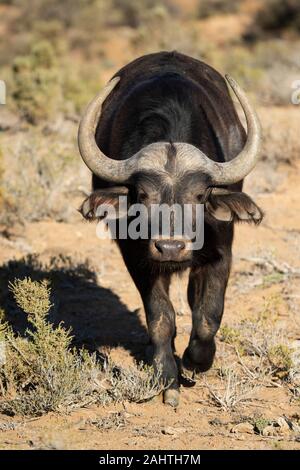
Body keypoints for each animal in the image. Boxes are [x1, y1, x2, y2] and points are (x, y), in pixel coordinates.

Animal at [78, 49, 262, 406]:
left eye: (200, 195)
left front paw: (194, 362)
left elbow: (208, 314)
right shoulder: (137, 259)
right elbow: (161, 317)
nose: (171, 247)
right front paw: (168, 378)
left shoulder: (221, 253)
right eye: (142, 195)